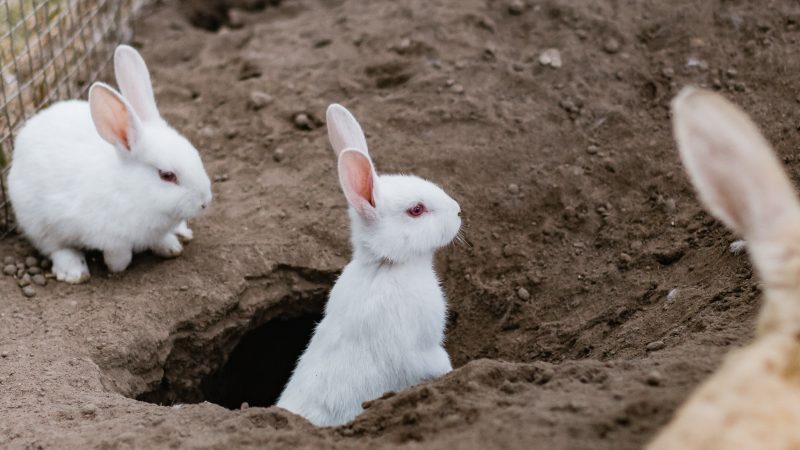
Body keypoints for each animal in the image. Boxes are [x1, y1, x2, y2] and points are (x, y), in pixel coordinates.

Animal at [7, 46, 212, 284]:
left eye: (196, 154)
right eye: (167, 175)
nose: (205, 202)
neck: (131, 190)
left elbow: (160, 239)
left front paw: (171, 248)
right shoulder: (111, 237)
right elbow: (119, 253)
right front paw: (117, 268)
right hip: (37, 222)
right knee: (56, 247)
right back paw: (74, 272)